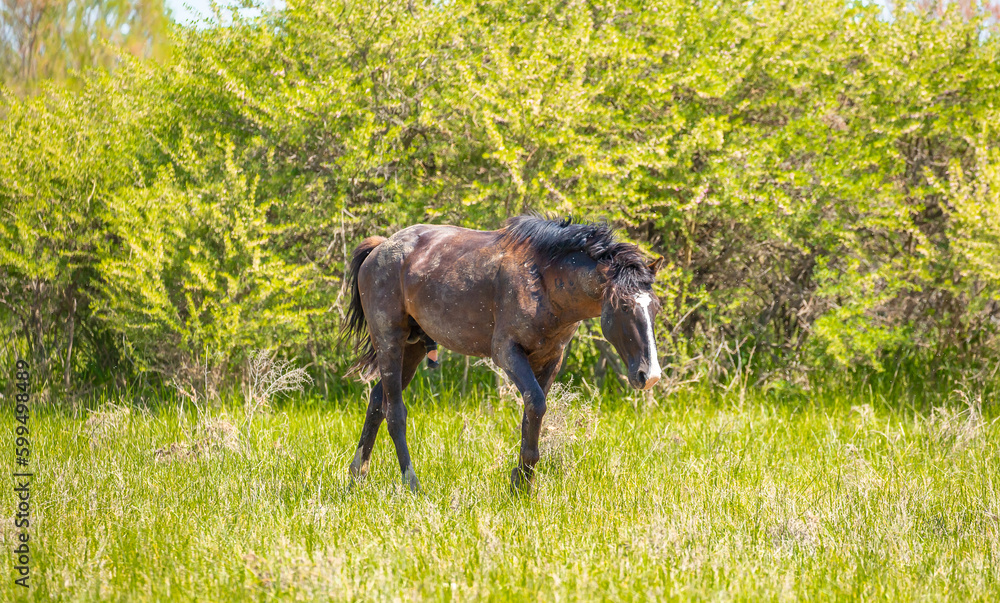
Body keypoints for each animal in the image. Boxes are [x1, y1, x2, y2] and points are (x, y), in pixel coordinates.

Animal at [342, 215, 663, 493]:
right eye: (624, 306)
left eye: (655, 308)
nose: (649, 375)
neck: (543, 280)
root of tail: (380, 247)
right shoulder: (507, 353)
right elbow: (536, 405)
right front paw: (522, 483)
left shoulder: (550, 359)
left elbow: (532, 414)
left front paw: (520, 483)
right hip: (390, 343)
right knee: (395, 412)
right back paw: (412, 483)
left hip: (414, 347)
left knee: (377, 401)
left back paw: (357, 475)